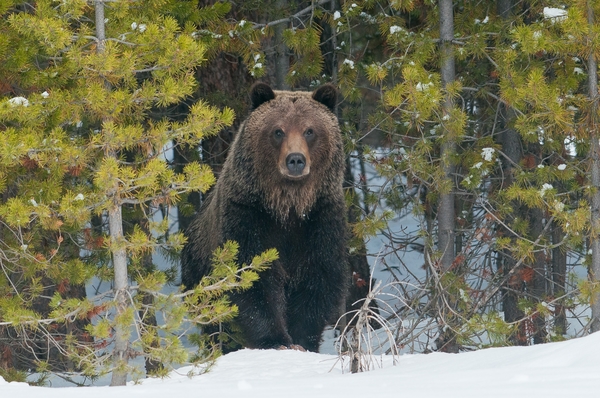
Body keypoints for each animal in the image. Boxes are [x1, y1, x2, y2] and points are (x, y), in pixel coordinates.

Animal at [182, 81, 346, 352]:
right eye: (278, 131)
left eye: (309, 130)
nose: (295, 160)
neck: (288, 206)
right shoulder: (248, 216)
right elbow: (252, 279)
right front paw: (276, 340)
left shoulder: (320, 220)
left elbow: (317, 279)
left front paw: (302, 341)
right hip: (199, 275)